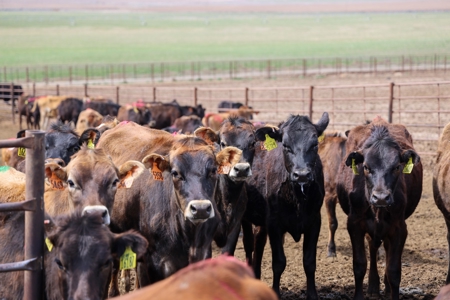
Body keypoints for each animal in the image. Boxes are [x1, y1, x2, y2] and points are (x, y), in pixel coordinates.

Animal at [244, 112, 328, 298]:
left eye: (315, 144)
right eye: (286, 145)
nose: (302, 175)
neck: (297, 198)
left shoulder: (314, 222)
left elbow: (309, 262)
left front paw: (312, 294)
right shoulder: (274, 223)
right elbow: (279, 262)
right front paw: (275, 291)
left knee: (258, 243)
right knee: (248, 246)